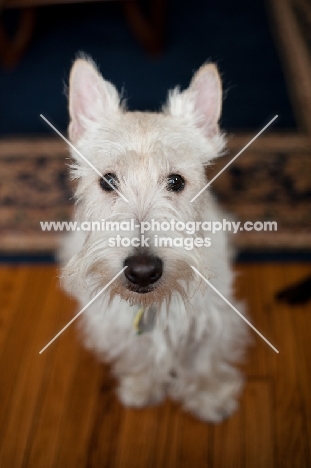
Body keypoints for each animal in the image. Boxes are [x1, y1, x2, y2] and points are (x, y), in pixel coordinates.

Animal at [61, 56, 249, 422]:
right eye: (108, 181)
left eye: (176, 181)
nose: (143, 271)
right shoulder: (117, 325)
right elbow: (138, 356)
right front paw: (141, 388)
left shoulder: (213, 318)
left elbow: (203, 362)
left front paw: (209, 399)